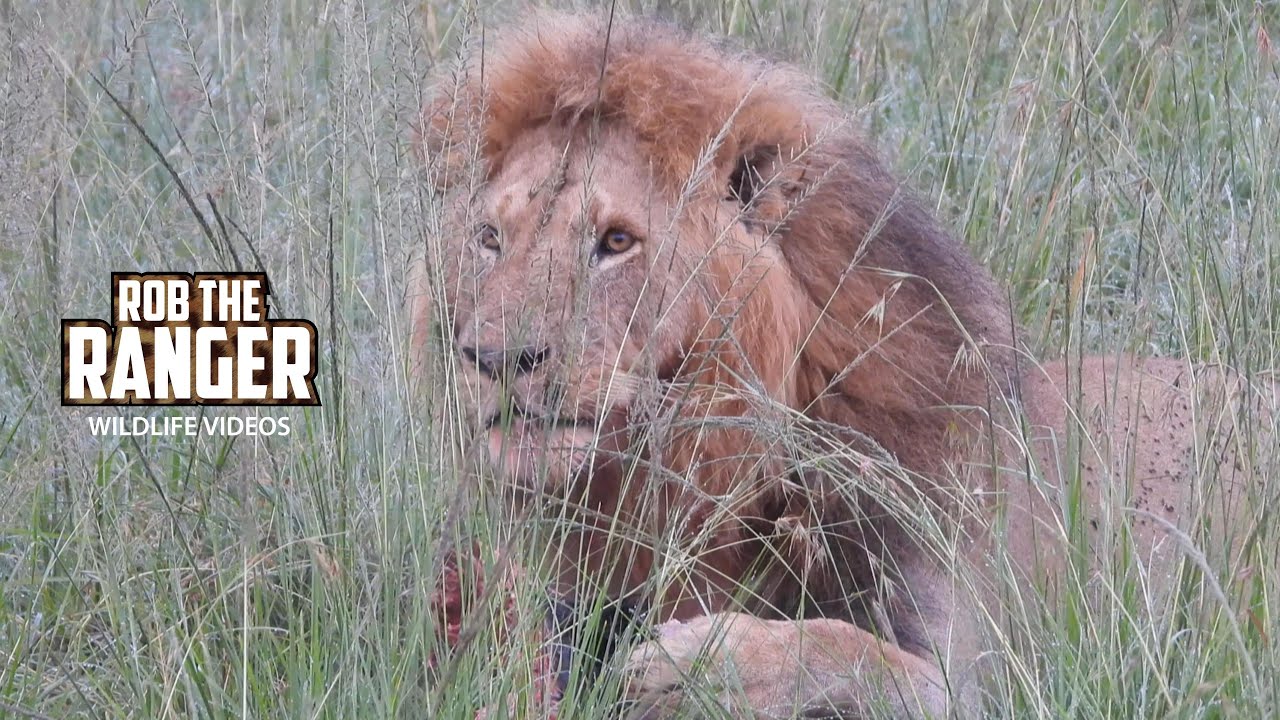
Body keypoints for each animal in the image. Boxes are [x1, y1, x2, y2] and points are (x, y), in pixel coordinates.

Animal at [411, 12, 1276, 719]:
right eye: (490, 239)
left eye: (616, 241)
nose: (493, 357)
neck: (706, 458)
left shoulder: (982, 677)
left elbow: (842, 649)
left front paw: (689, 664)